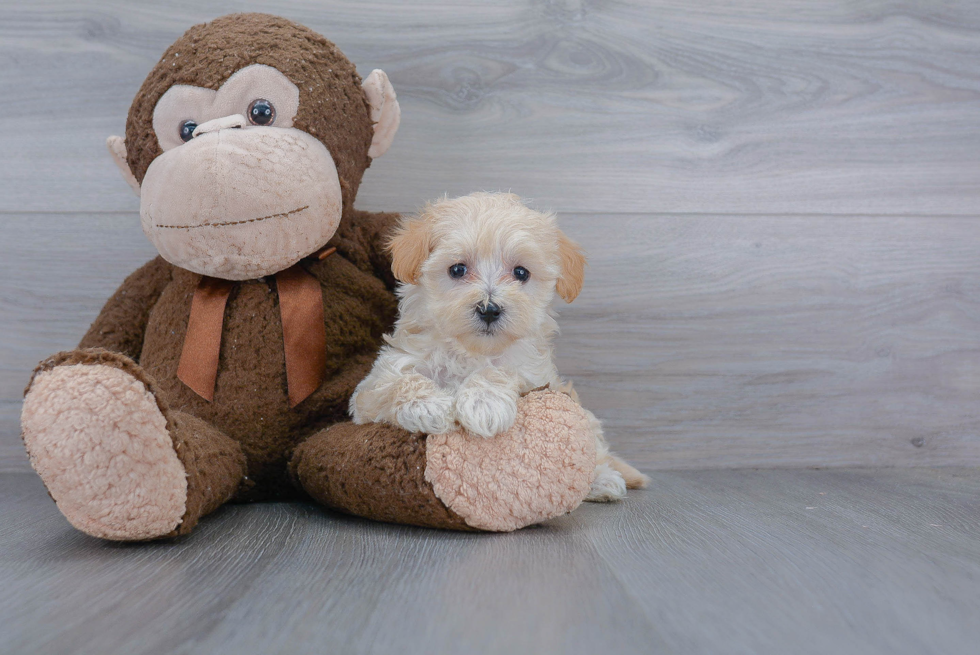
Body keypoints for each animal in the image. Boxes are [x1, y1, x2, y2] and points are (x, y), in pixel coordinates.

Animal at [348, 192, 648, 500]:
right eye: (458, 269)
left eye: (521, 273)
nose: (489, 309)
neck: (471, 352)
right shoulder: (373, 386)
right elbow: (396, 383)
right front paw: (429, 405)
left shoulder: (535, 375)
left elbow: (500, 370)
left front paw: (483, 403)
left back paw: (602, 480)